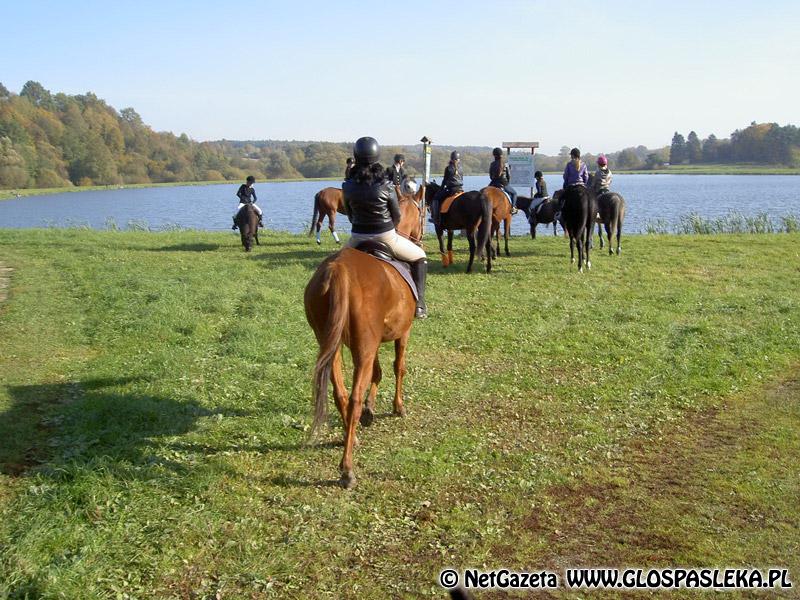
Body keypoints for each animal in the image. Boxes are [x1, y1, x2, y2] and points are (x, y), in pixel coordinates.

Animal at [304, 184, 424, 488]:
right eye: (423, 212)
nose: (422, 236)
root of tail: (338, 270)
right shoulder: (401, 334)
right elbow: (398, 368)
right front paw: (397, 407)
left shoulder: (372, 342)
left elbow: (377, 373)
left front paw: (371, 410)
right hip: (362, 347)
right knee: (354, 396)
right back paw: (347, 469)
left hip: (332, 345)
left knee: (341, 393)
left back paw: (352, 436)